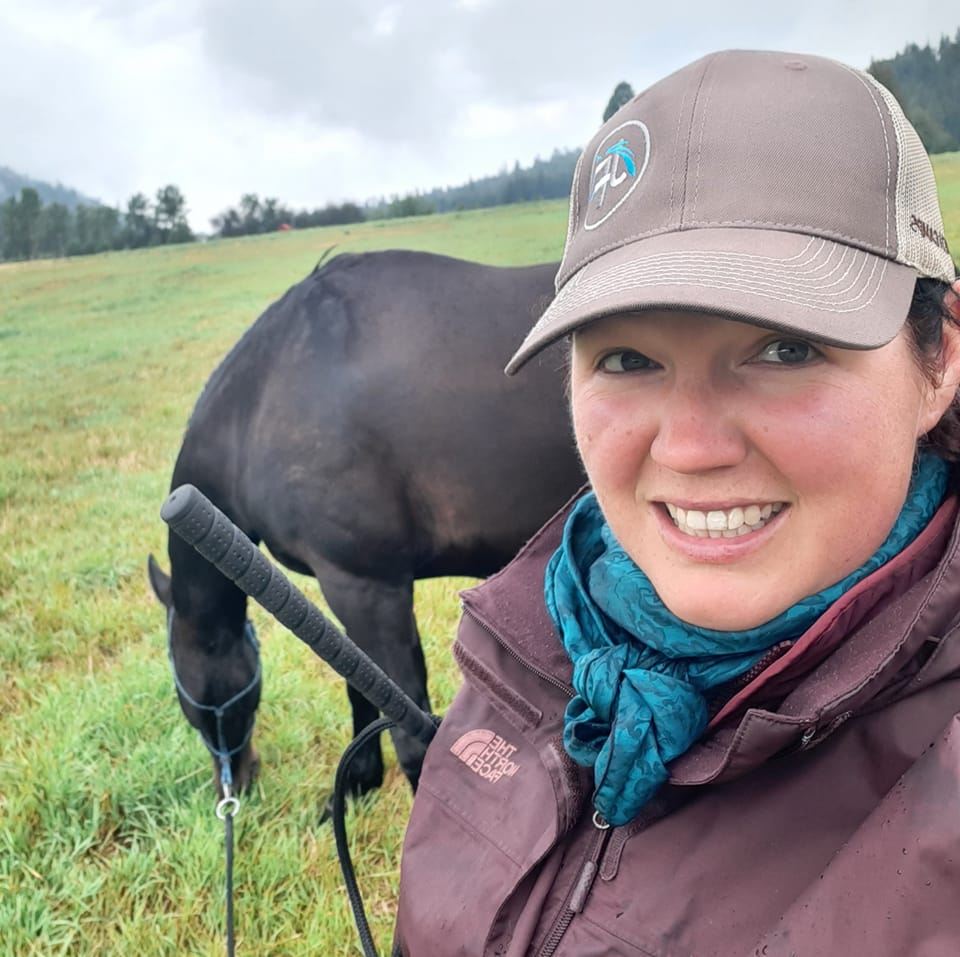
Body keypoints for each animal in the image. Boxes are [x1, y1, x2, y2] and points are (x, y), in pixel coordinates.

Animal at [150, 248, 584, 800]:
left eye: (189, 698)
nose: (236, 782)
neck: (263, 400)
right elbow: (359, 686)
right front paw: (359, 780)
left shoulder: (369, 589)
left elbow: (412, 734)